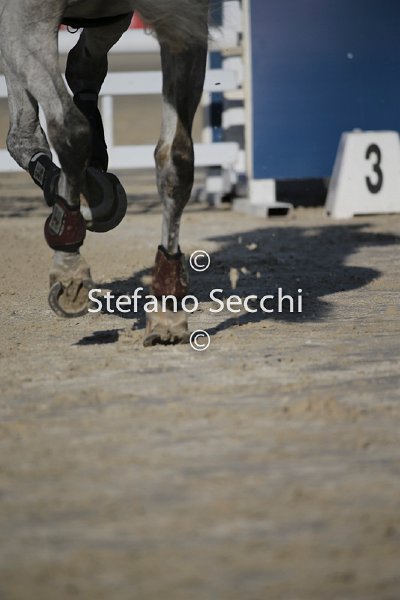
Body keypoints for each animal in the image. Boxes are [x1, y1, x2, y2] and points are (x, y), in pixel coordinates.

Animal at [0, 0, 209, 345]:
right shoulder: (24, 16)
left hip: (108, 21)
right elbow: (69, 131)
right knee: (26, 129)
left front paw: (167, 309)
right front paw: (69, 270)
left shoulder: (182, 21)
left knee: (79, 66)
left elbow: (176, 159)